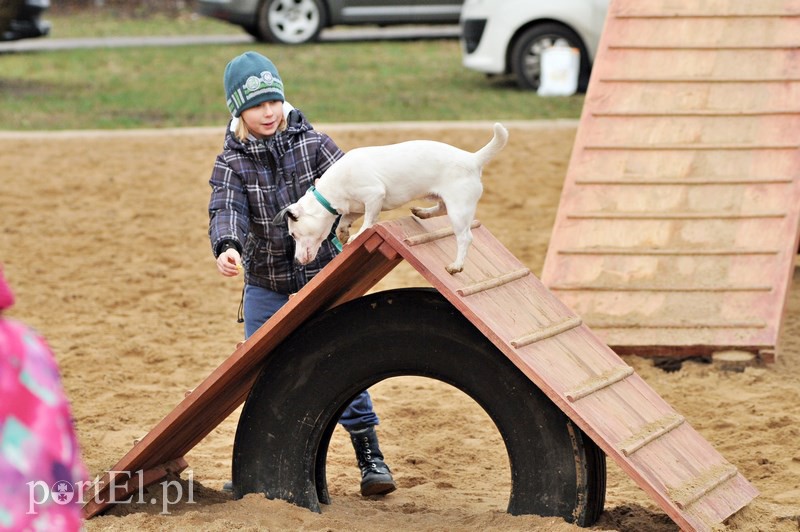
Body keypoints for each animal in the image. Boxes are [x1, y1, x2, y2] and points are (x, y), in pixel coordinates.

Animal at [280, 123, 506, 274]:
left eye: (293, 234)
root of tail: (472, 159)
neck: (329, 191)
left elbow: (369, 222)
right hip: (446, 202)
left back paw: (456, 266)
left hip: (459, 210)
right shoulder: (355, 207)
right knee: (440, 209)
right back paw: (422, 212)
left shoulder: (374, 195)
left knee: (465, 237)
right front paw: (344, 234)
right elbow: (342, 223)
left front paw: (357, 235)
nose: (297, 262)